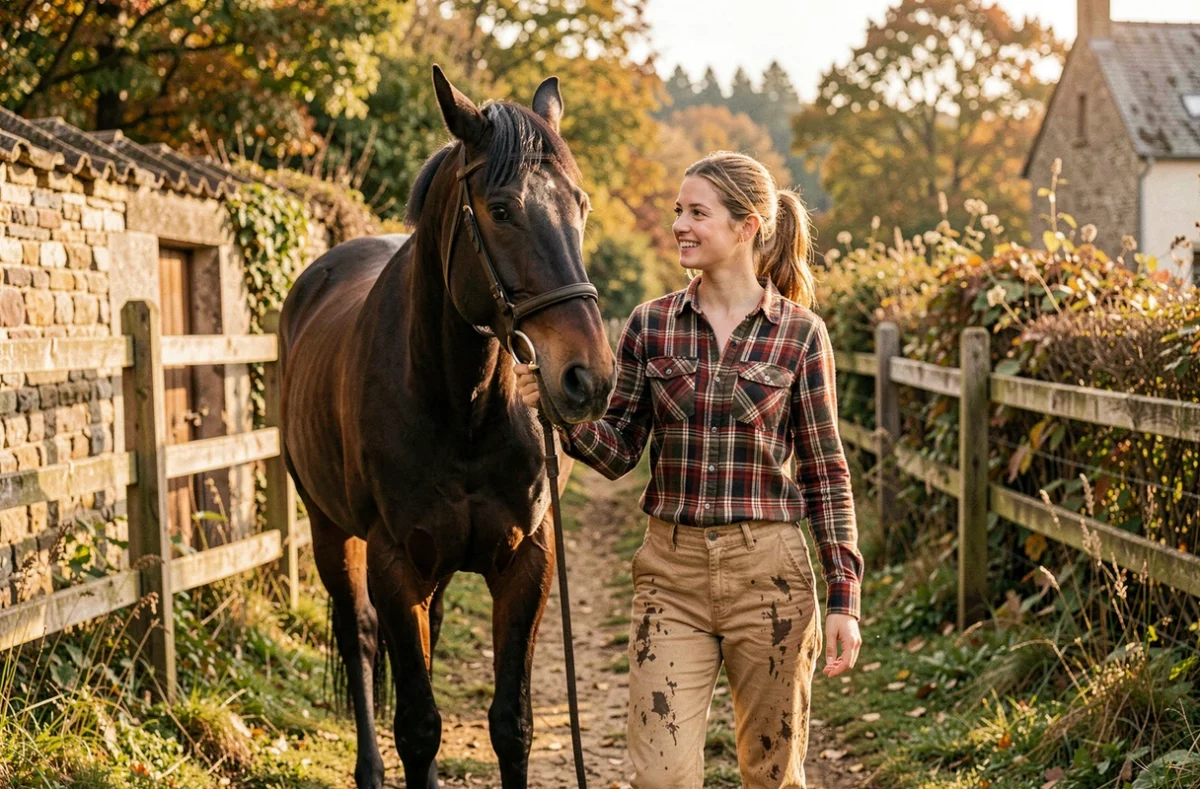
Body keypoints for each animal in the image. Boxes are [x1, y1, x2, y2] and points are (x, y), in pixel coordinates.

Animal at [278, 66, 617, 788]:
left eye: (580, 204)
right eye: (502, 209)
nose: (589, 377)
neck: (462, 407)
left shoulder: (527, 562)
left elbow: (511, 725)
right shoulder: (395, 561)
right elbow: (418, 724)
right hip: (330, 532)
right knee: (360, 638)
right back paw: (370, 769)